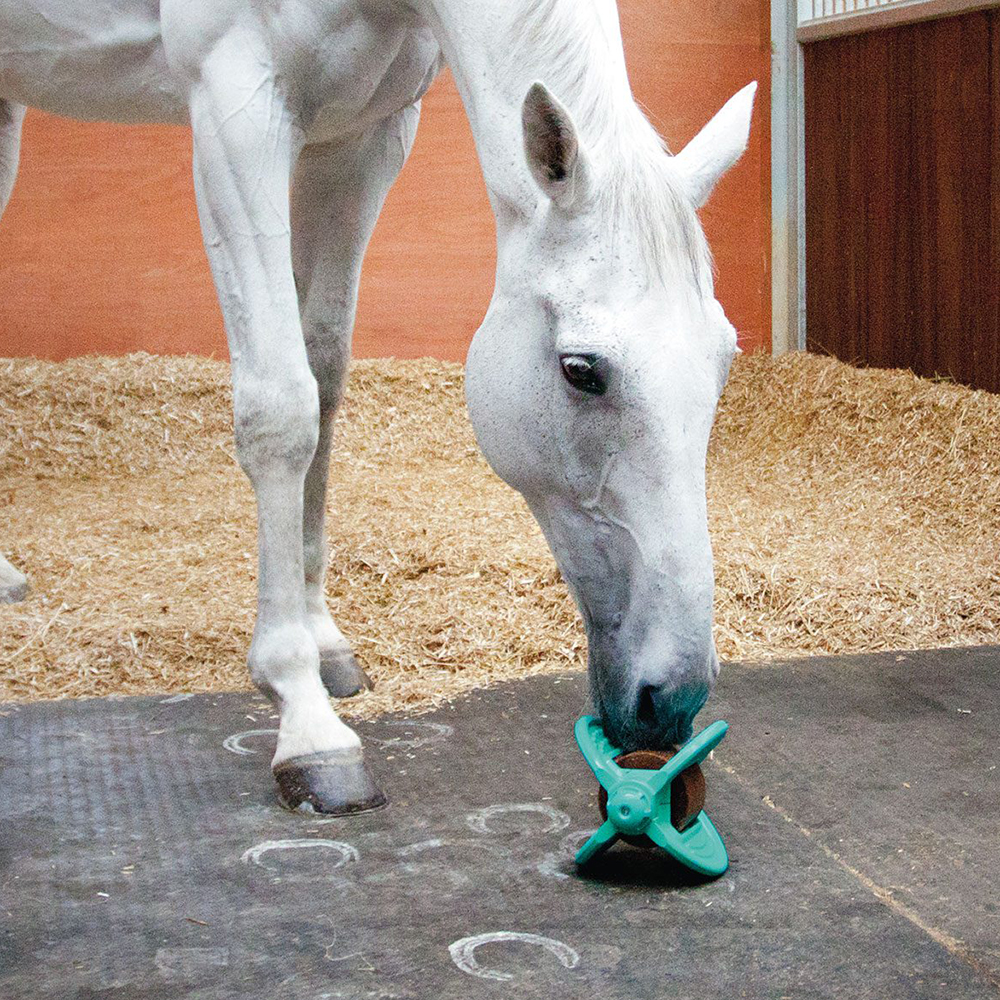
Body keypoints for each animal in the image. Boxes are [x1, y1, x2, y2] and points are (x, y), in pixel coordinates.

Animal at [0, 0, 752, 812]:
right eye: (581, 371)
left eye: (722, 361)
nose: (671, 698)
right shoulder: (236, 108)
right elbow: (282, 406)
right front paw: (306, 719)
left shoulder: (360, 140)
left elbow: (323, 372)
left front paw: (322, 639)